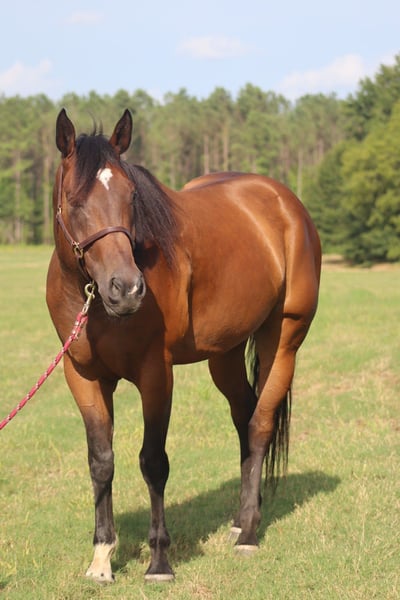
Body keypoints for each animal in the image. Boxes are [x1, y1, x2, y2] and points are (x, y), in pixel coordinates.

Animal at [46, 108, 321, 583]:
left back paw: (249, 534)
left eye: (131, 196)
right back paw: (241, 519)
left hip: (284, 339)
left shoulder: (156, 375)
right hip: (224, 354)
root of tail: (287, 204)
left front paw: (159, 561)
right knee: (244, 416)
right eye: (74, 199)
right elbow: (101, 460)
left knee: (260, 424)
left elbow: (153, 462)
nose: (126, 289)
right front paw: (101, 558)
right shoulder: (82, 376)